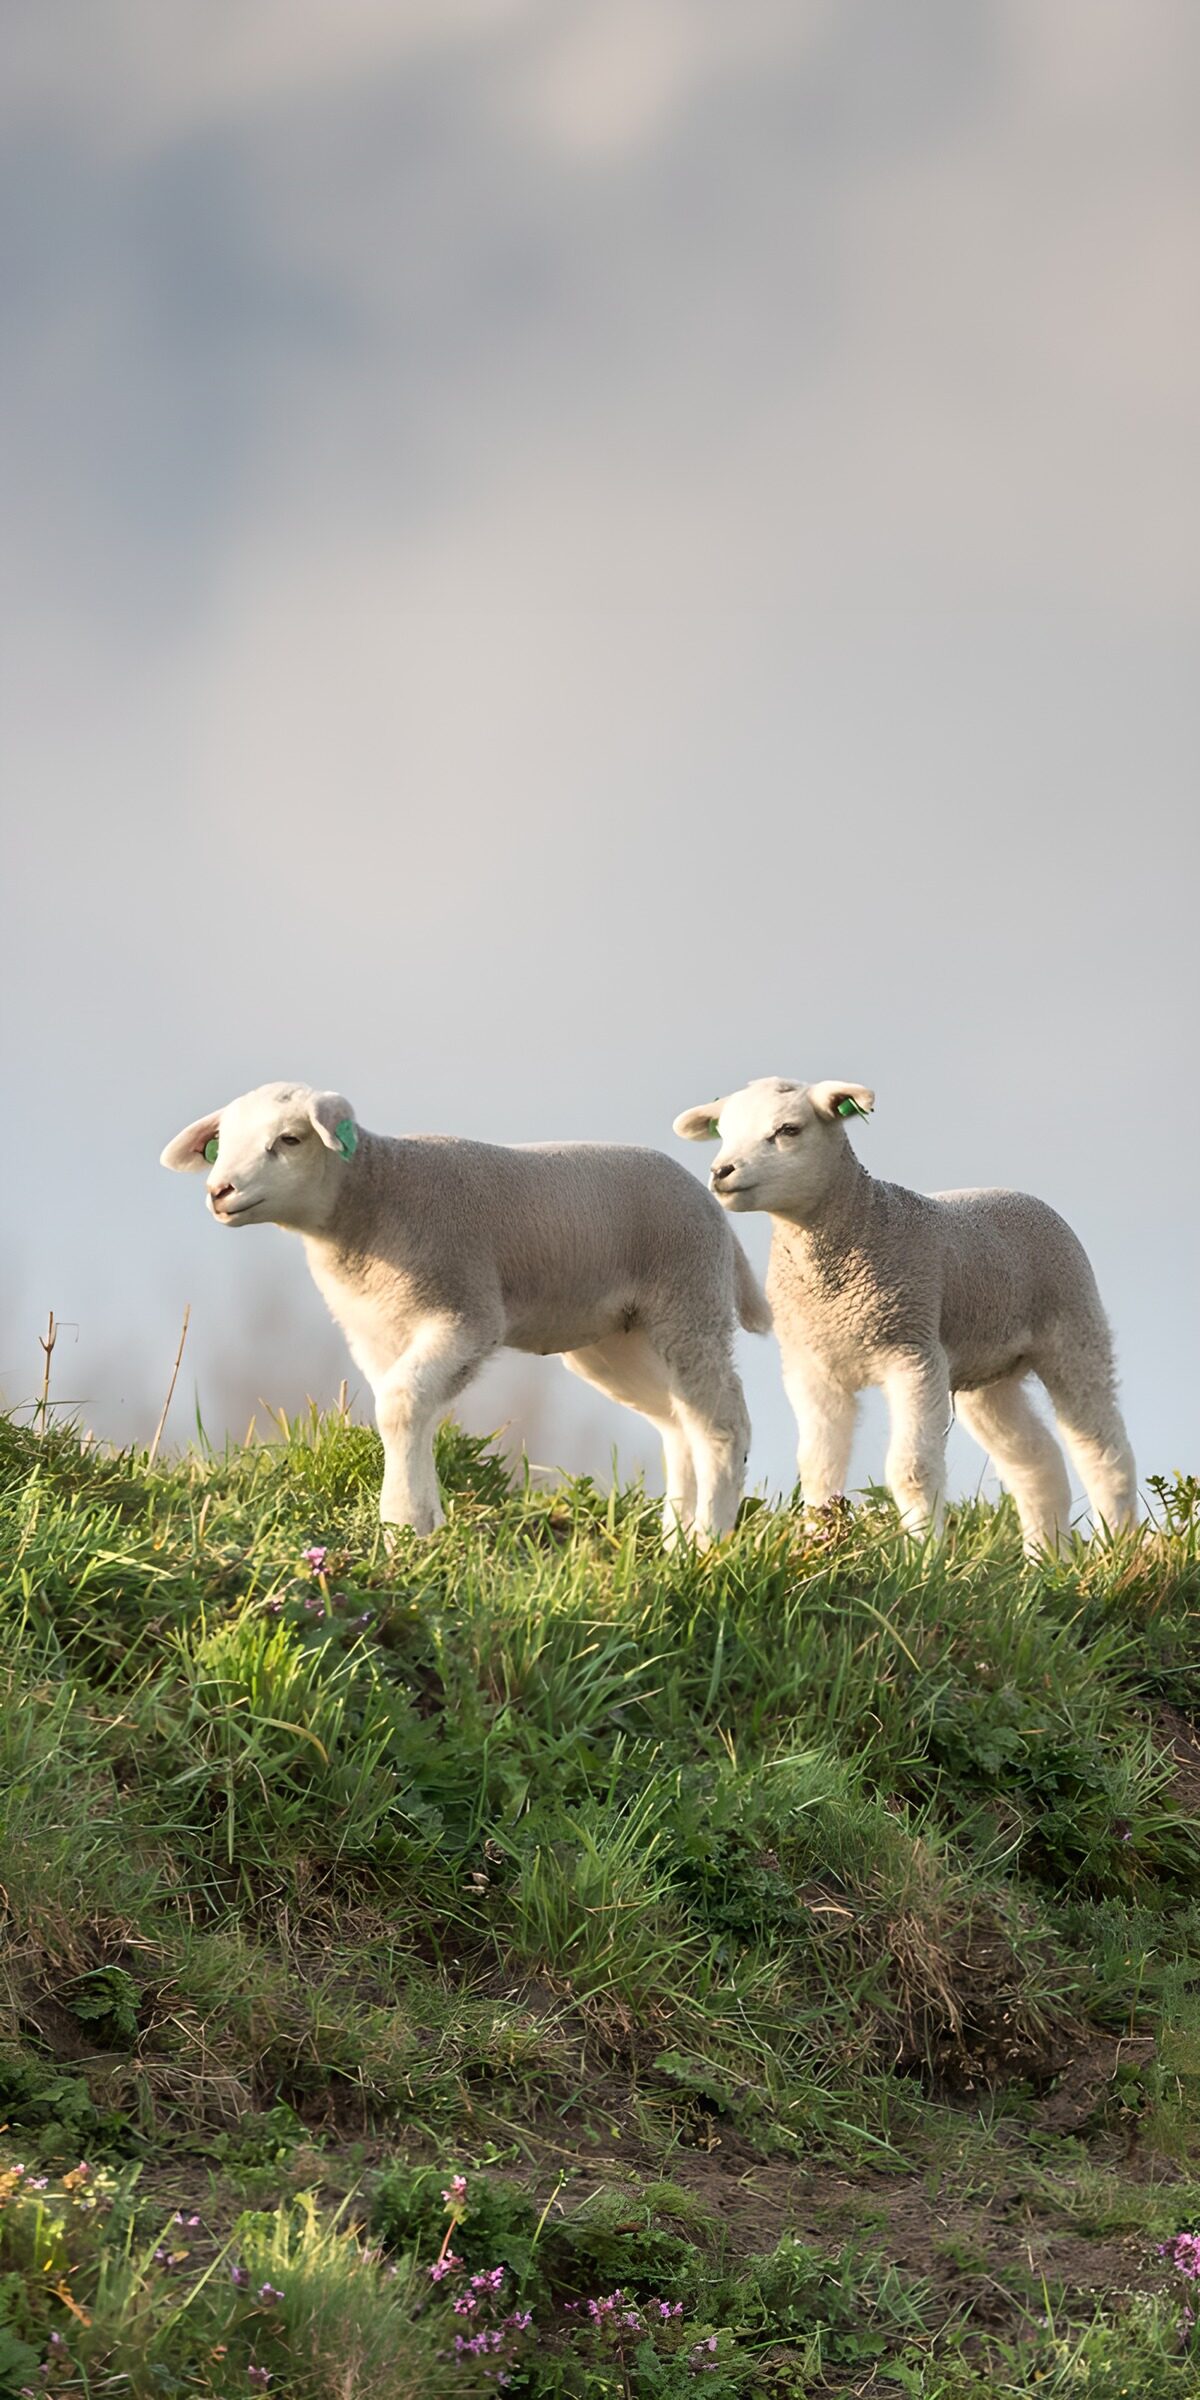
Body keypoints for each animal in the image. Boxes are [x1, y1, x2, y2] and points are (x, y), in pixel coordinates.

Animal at [161, 1081, 770, 1542]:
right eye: (221, 1144)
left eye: (288, 1139)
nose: (220, 1190)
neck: (373, 1198)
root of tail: (714, 1212)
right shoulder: (380, 1335)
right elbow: (413, 1414)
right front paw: (425, 1521)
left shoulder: (466, 1312)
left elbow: (400, 1407)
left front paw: (401, 1525)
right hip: (616, 1340)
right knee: (678, 1421)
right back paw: (674, 1544)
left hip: (688, 1300)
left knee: (722, 1425)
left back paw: (708, 1543)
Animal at [673, 1077, 1136, 1555]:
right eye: (724, 1132)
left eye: (788, 1129)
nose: (721, 1172)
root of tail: (1020, 1193)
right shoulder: (812, 1367)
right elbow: (818, 1467)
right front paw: (819, 1544)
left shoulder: (911, 1353)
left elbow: (911, 1469)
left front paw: (924, 1557)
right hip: (986, 1378)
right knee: (1036, 1461)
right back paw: (1045, 1560)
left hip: (1075, 1330)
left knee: (1103, 1452)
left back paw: (1115, 1549)